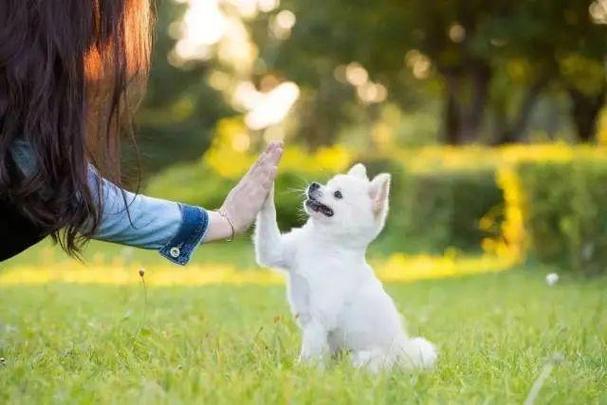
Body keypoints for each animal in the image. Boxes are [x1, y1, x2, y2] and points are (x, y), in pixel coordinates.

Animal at [255, 163, 436, 370]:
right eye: (327, 184)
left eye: (337, 194)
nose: (315, 185)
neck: (323, 245)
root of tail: (400, 354)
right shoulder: (274, 251)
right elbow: (269, 217)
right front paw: (265, 184)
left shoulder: (319, 319)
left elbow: (310, 351)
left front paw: (303, 371)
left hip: (361, 358)